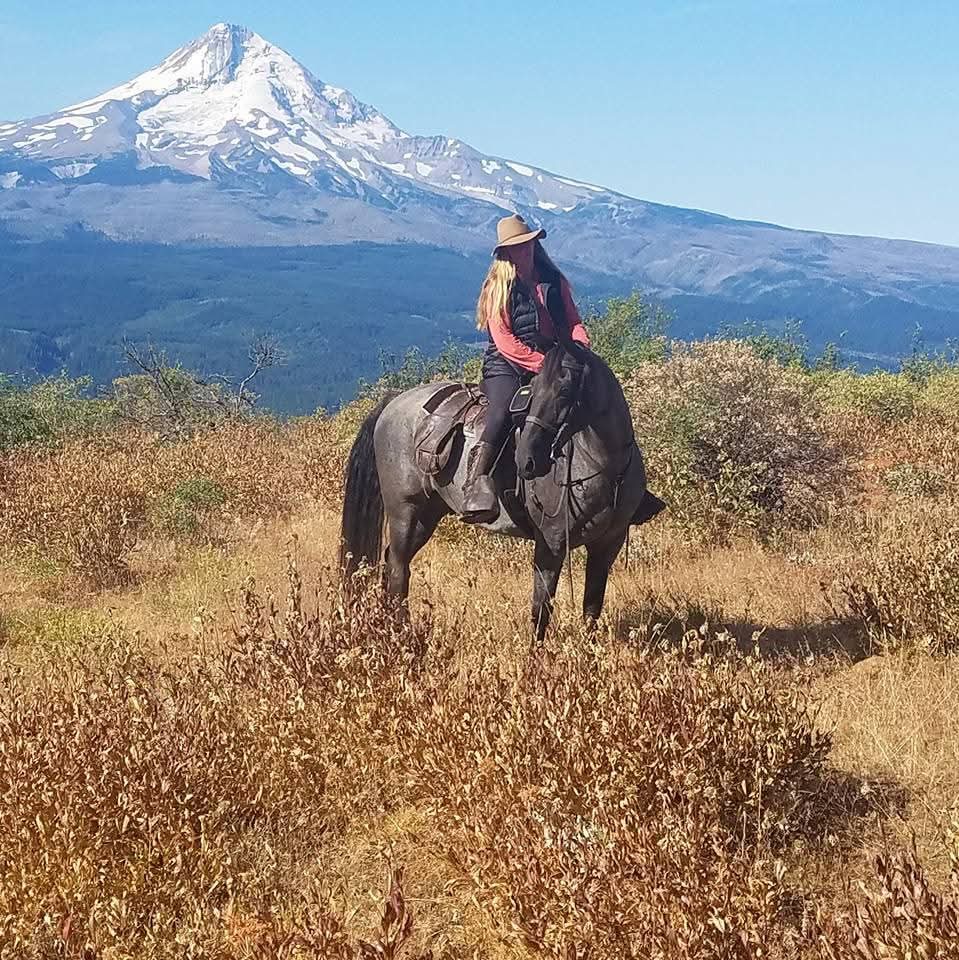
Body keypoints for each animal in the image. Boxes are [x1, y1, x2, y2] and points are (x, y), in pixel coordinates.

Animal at [339, 340, 665, 641]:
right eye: (533, 393)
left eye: (564, 391)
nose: (527, 460)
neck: (604, 467)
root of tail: (394, 401)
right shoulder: (551, 543)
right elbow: (541, 608)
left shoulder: (607, 545)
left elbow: (592, 608)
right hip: (405, 511)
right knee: (398, 568)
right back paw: (402, 632)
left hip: (426, 516)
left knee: (392, 561)